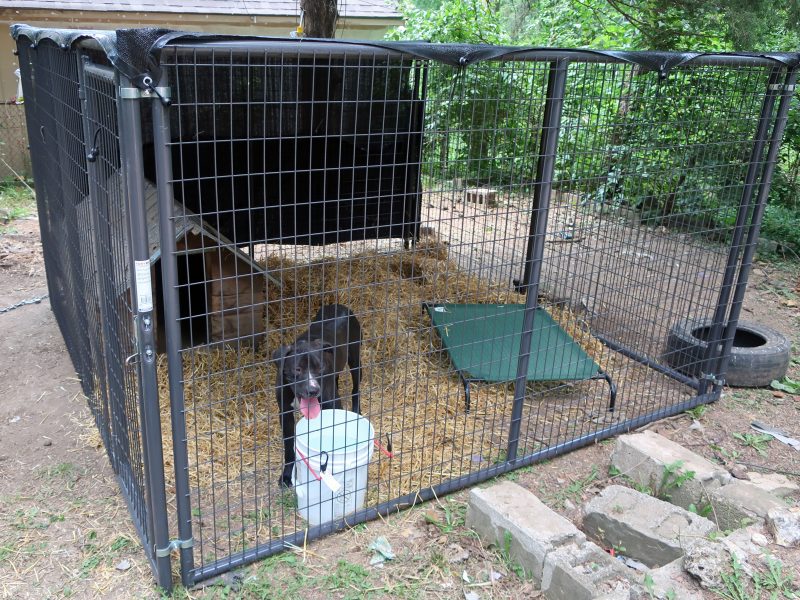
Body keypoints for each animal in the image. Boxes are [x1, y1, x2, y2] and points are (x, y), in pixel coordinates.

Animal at [274, 304, 364, 488]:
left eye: (319, 367)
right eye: (297, 369)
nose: (313, 390)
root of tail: (340, 305)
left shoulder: (333, 406)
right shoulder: (285, 415)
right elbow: (289, 447)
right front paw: (287, 475)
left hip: (355, 360)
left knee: (356, 388)